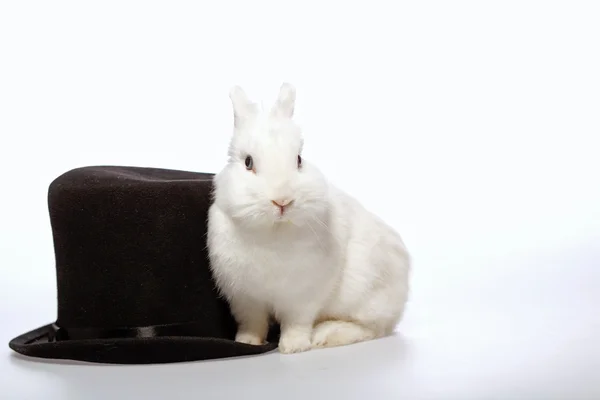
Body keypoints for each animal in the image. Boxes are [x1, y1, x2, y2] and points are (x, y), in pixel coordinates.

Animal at [205, 82, 408, 354]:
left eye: (299, 160)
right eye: (248, 162)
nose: (282, 200)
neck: (274, 231)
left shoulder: (303, 297)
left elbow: (297, 322)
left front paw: (293, 347)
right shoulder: (246, 298)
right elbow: (252, 323)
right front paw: (247, 342)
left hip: (367, 292)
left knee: (373, 329)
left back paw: (327, 335)